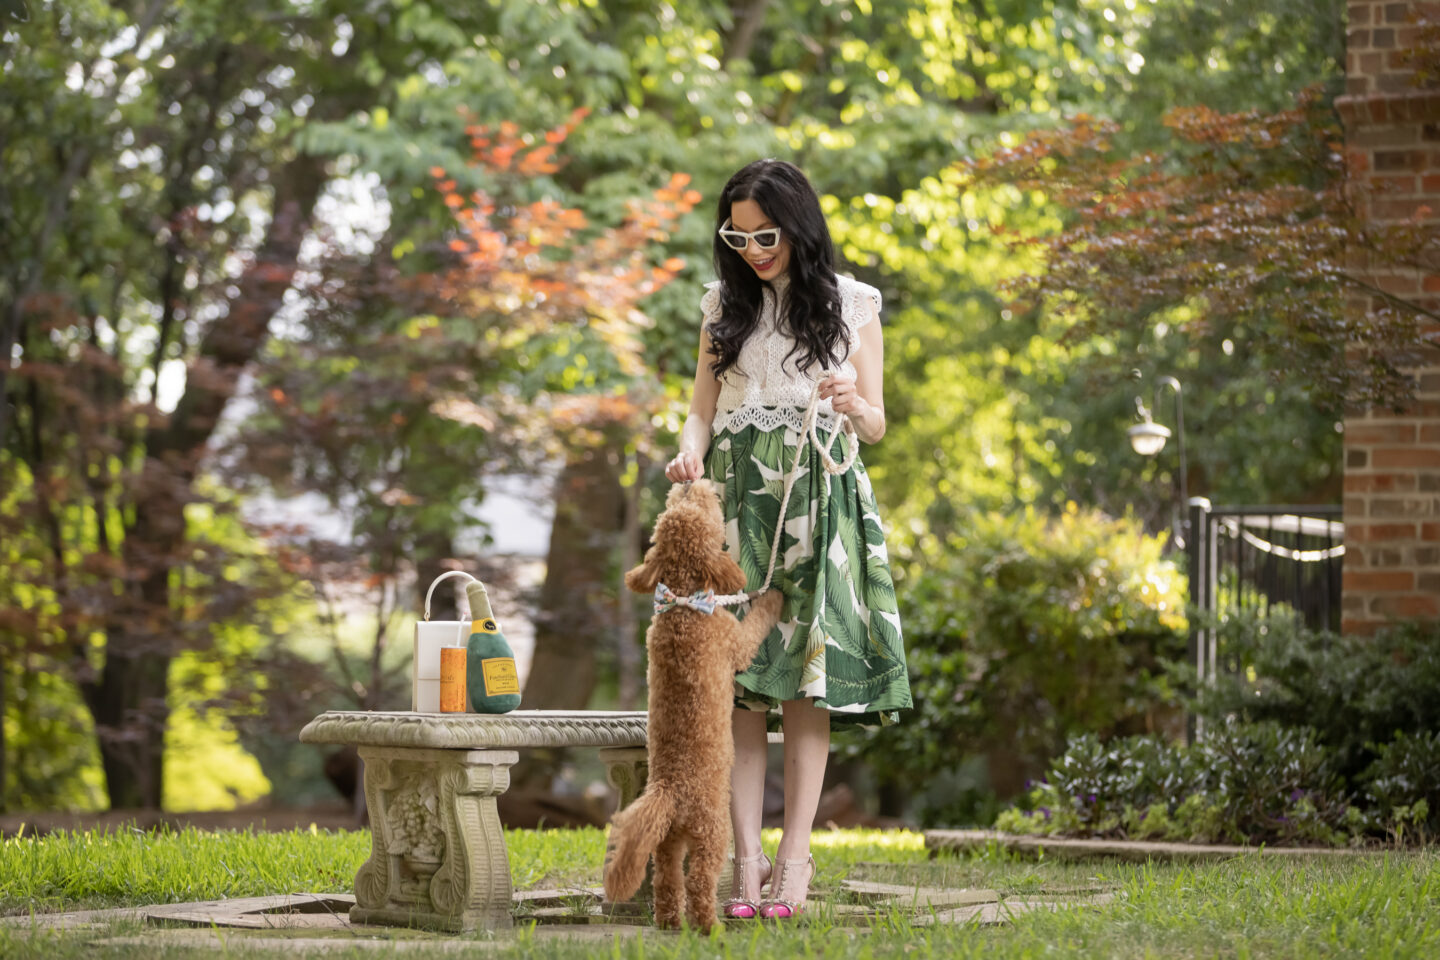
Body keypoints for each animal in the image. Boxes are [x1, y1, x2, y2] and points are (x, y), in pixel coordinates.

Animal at [601, 480, 783, 932]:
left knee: (666, 878)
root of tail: (669, 791)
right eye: (703, 506)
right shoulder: (737, 643)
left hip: (668, 841)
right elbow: (756, 622)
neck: (684, 603)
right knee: (699, 879)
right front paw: (774, 597)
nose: (689, 480)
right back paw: (710, 926)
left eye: (682, 502)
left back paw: (669, 921)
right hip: (712, 831)